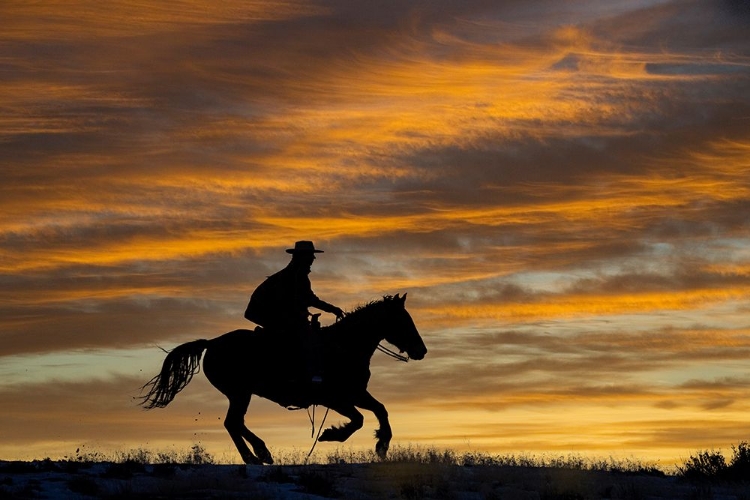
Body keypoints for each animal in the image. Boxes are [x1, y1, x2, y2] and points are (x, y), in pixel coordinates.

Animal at [138, 292, 426, 464]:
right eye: (404, 321)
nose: (421, 350)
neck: (343, 346)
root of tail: (212, 343)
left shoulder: (354, 393)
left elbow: (381, 410)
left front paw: (382, 445)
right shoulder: (333, 398)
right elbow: (358, 420)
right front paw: (331, 435)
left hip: (239, 394)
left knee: (235, 423)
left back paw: (258, 454)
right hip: (240, 392)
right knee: (233, 423)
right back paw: (258, 454)